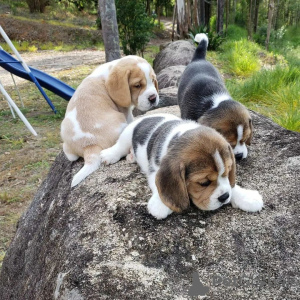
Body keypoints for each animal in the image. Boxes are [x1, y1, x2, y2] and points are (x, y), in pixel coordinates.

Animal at [60, 55, 159, 186]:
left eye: (153, 81)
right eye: (137, 85)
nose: (153, 98)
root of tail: (89, 145)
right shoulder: (125, 111)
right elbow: (131, 118)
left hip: (65, 139)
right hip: (121, 123)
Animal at [99, 113, 262, 219]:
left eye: (227, 173)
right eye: (204, 183)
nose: (224, 197)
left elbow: (231, 186)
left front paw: (246, 197)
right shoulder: (155, 169)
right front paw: (160, 204)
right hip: (127, 134)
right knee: (120, 146)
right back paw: (110, 155)